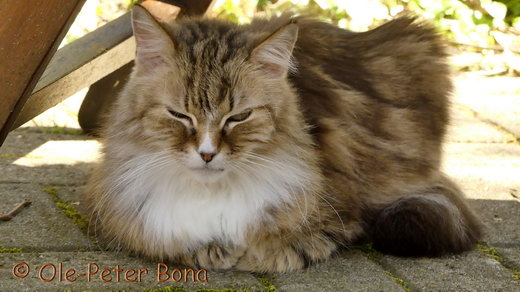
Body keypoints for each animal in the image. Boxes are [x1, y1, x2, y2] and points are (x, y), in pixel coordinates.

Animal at [84, 5, 480, 274]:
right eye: (179, 116)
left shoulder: (341, 211)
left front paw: (254, 254)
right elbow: (176, 243)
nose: (207, 154)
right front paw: (212, 251)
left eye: (239, 117)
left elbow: (289, 244)